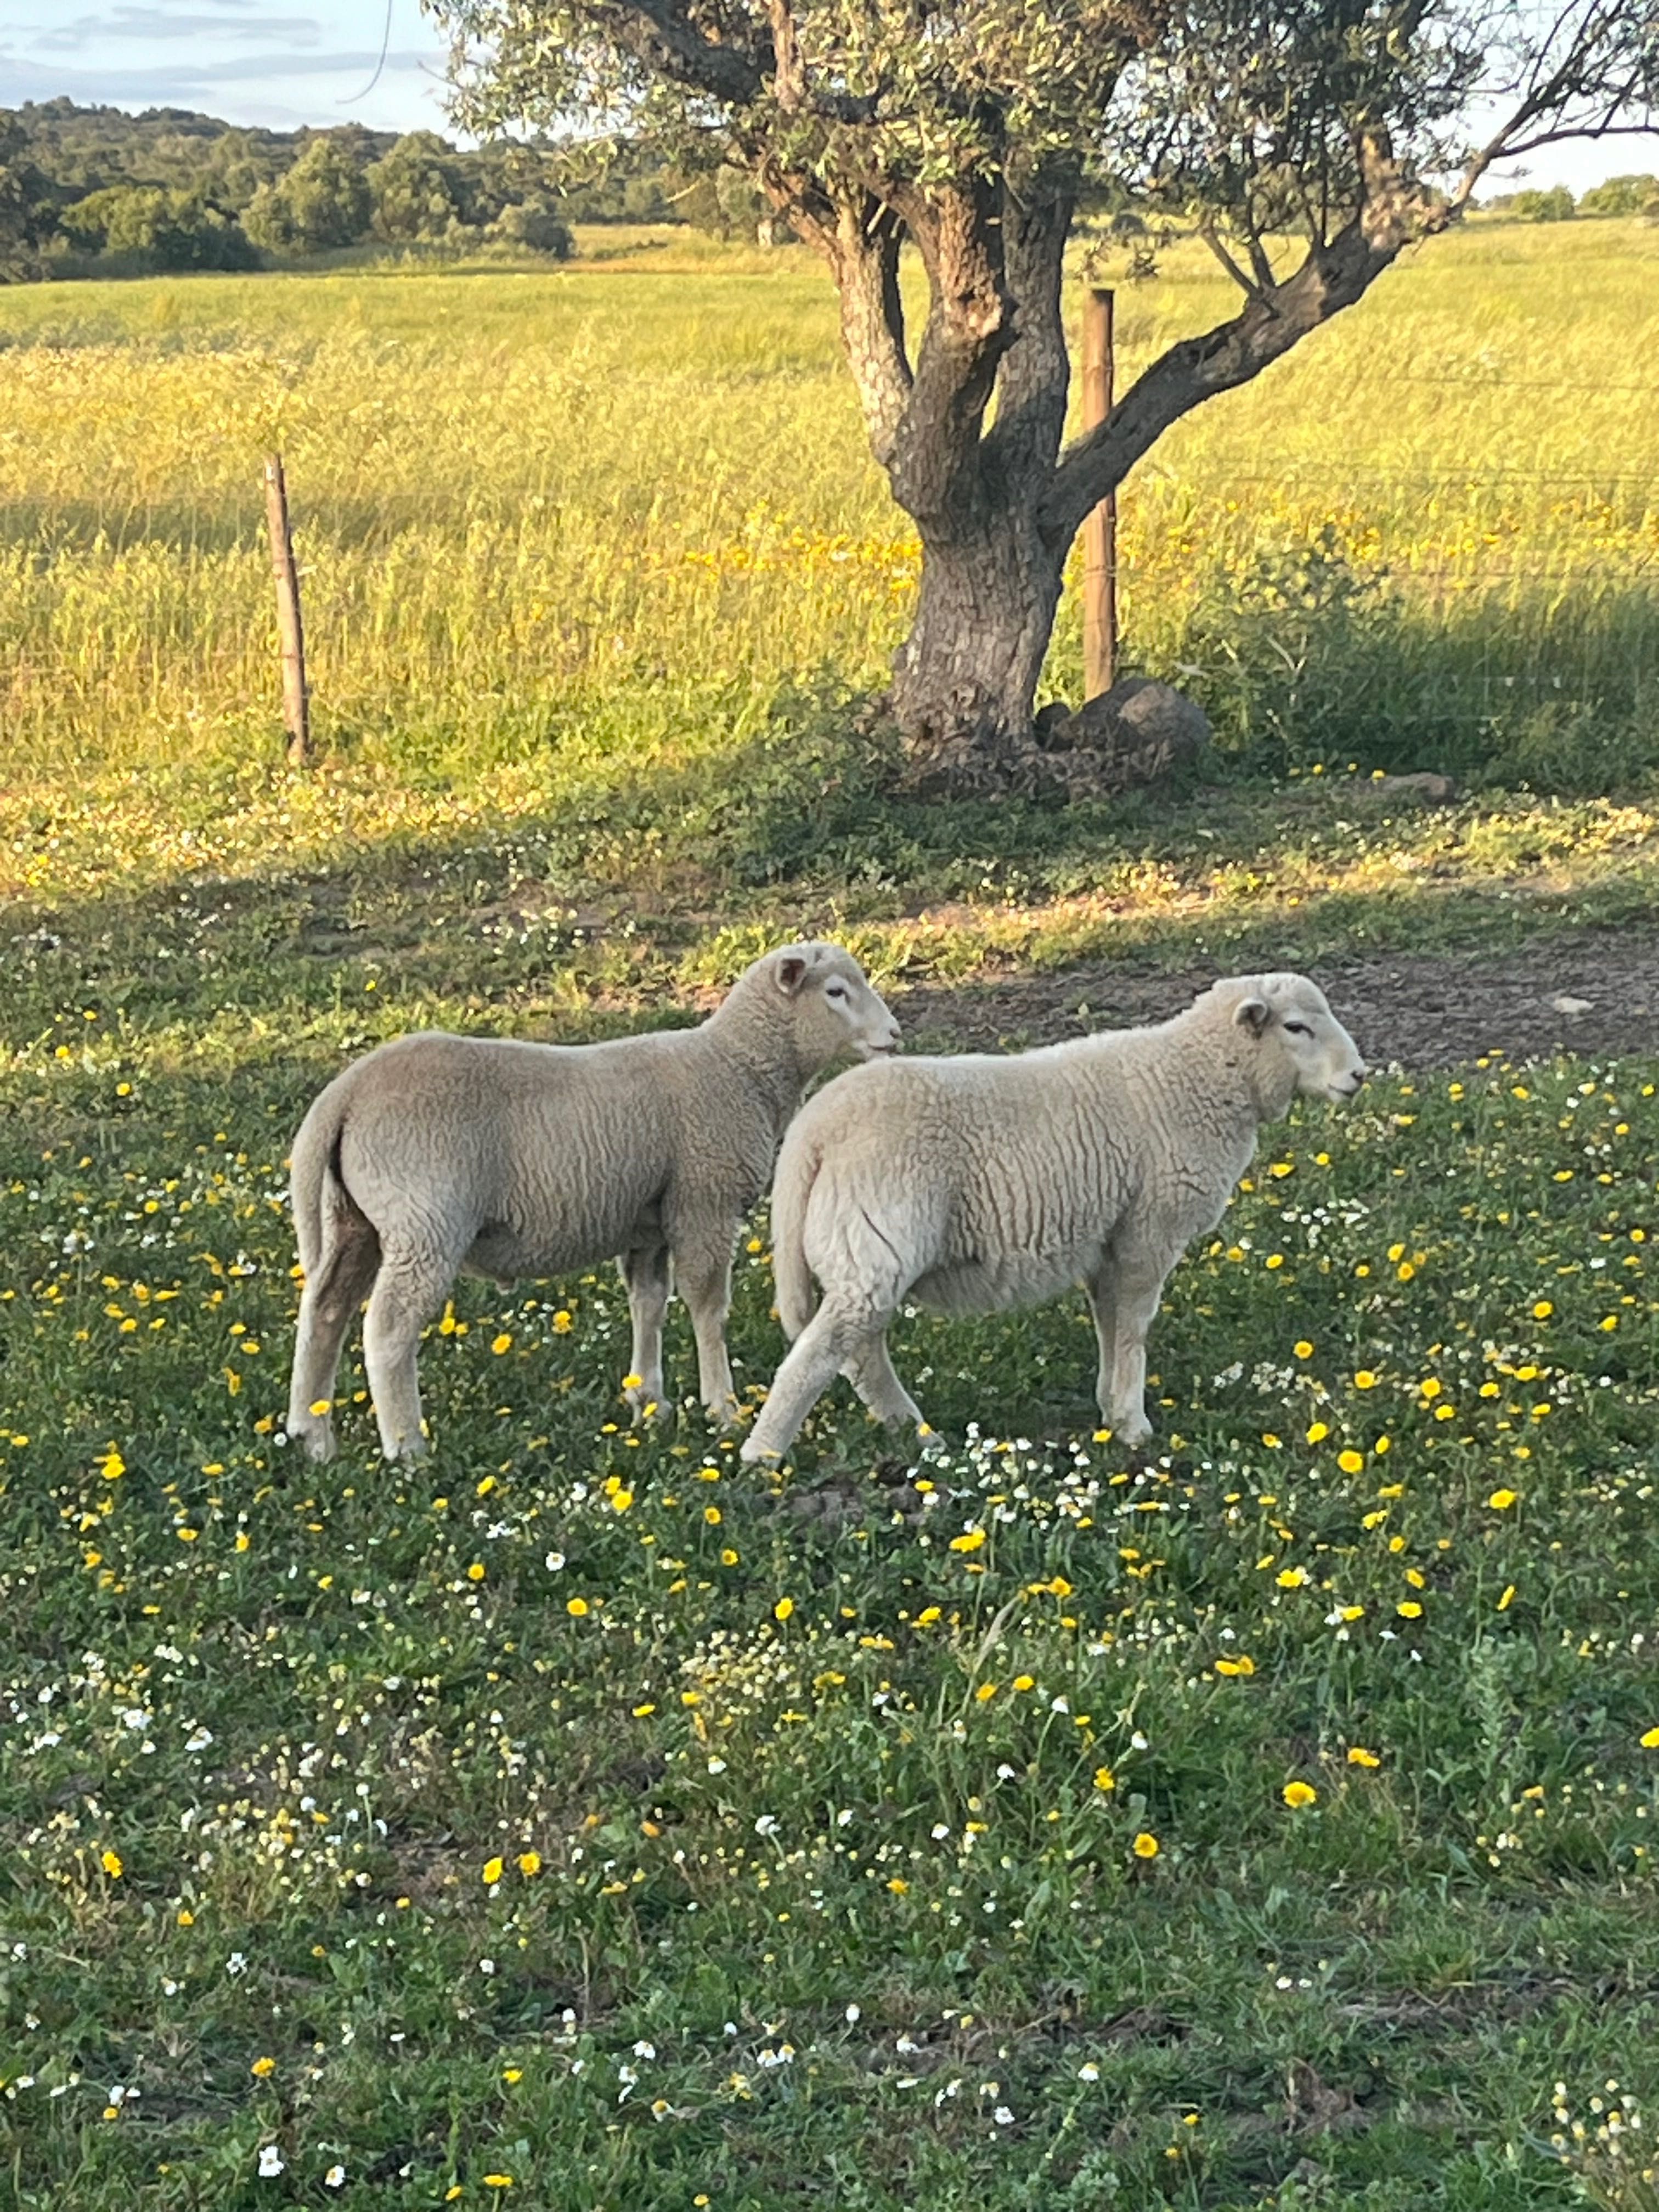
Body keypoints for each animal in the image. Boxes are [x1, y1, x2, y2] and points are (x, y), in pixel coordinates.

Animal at [290, 942, 902, 1460]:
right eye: (835, 992)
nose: (895, 1035)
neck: (738, 1068)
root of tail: (344, 1095)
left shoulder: (650, 1221)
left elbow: (649, 1303)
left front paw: (649, 1403)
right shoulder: (704, 1201)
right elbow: (709, 1308)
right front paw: (722, 1409)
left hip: (356, 1221)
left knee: (325, 1311)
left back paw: (312, 1436)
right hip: (425, 1225)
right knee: (387, 1330)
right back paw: (407, 1448)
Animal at [738, 973, 1362, 1469]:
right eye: (1297, 1028)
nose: (1359, 1075)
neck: (1198, 1076)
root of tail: (813, 1132)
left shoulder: (1108, 1238)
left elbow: (1110, 1323)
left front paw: (1110, 1408)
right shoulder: (1150, 1230)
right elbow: (1134, 1328)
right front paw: (1134, 1426)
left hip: (863, 1250)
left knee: (860, 1351)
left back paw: (913, 1432)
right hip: (875, 1238)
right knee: (823, 1353)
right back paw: (763, 1455)